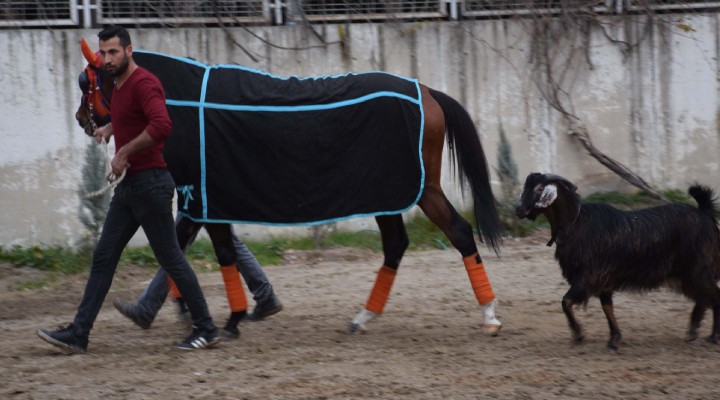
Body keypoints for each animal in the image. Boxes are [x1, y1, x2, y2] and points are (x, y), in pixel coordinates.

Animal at [76, 38, 506, 334]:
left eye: (86, 82)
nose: (82, 119)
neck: (184, 102)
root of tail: (428, 92)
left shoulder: (204, 198)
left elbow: (196, 250)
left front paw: (218, 319)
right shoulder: (207, 200)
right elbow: (189, 249)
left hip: (413, 189)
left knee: (455, 233)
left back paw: (488, 314)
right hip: (390, 195)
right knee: (401, 244)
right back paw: (364, 317)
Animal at [516, 173, 720, 348]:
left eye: (539, 188)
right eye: (526, 186)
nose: (518, 210)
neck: (577, 222)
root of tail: (704, 213)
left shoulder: (589, 276)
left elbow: (566, 302)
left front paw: (579, 335)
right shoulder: (601, 279)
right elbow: (607, 306)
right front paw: (614, 338)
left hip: (697, 269)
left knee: (713, 295)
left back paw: (713, 336)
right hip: (687, 273)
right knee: (704, 297)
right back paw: (692, 331)